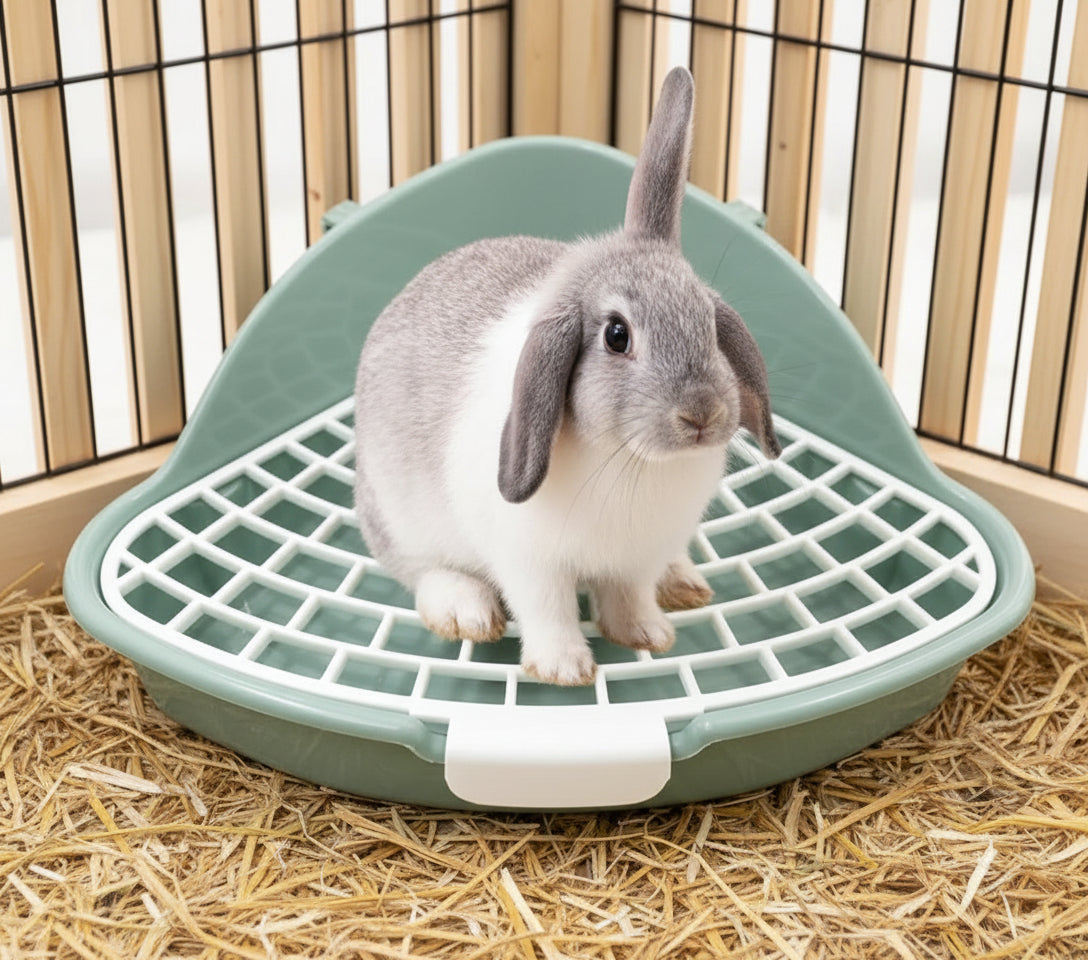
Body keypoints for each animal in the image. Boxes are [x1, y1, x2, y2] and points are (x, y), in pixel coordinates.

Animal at [353, 66, 780, 686]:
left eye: (706, 318)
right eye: (617, 335)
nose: (702, 414)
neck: (630, 461)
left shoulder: (635, 559)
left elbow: (628, 597)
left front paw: (647, 635)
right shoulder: (530, 562)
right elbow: (547, 610)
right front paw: (564, 669)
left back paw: (683, 583)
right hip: (400, 518)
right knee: (420, 571)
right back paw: (465, 611)